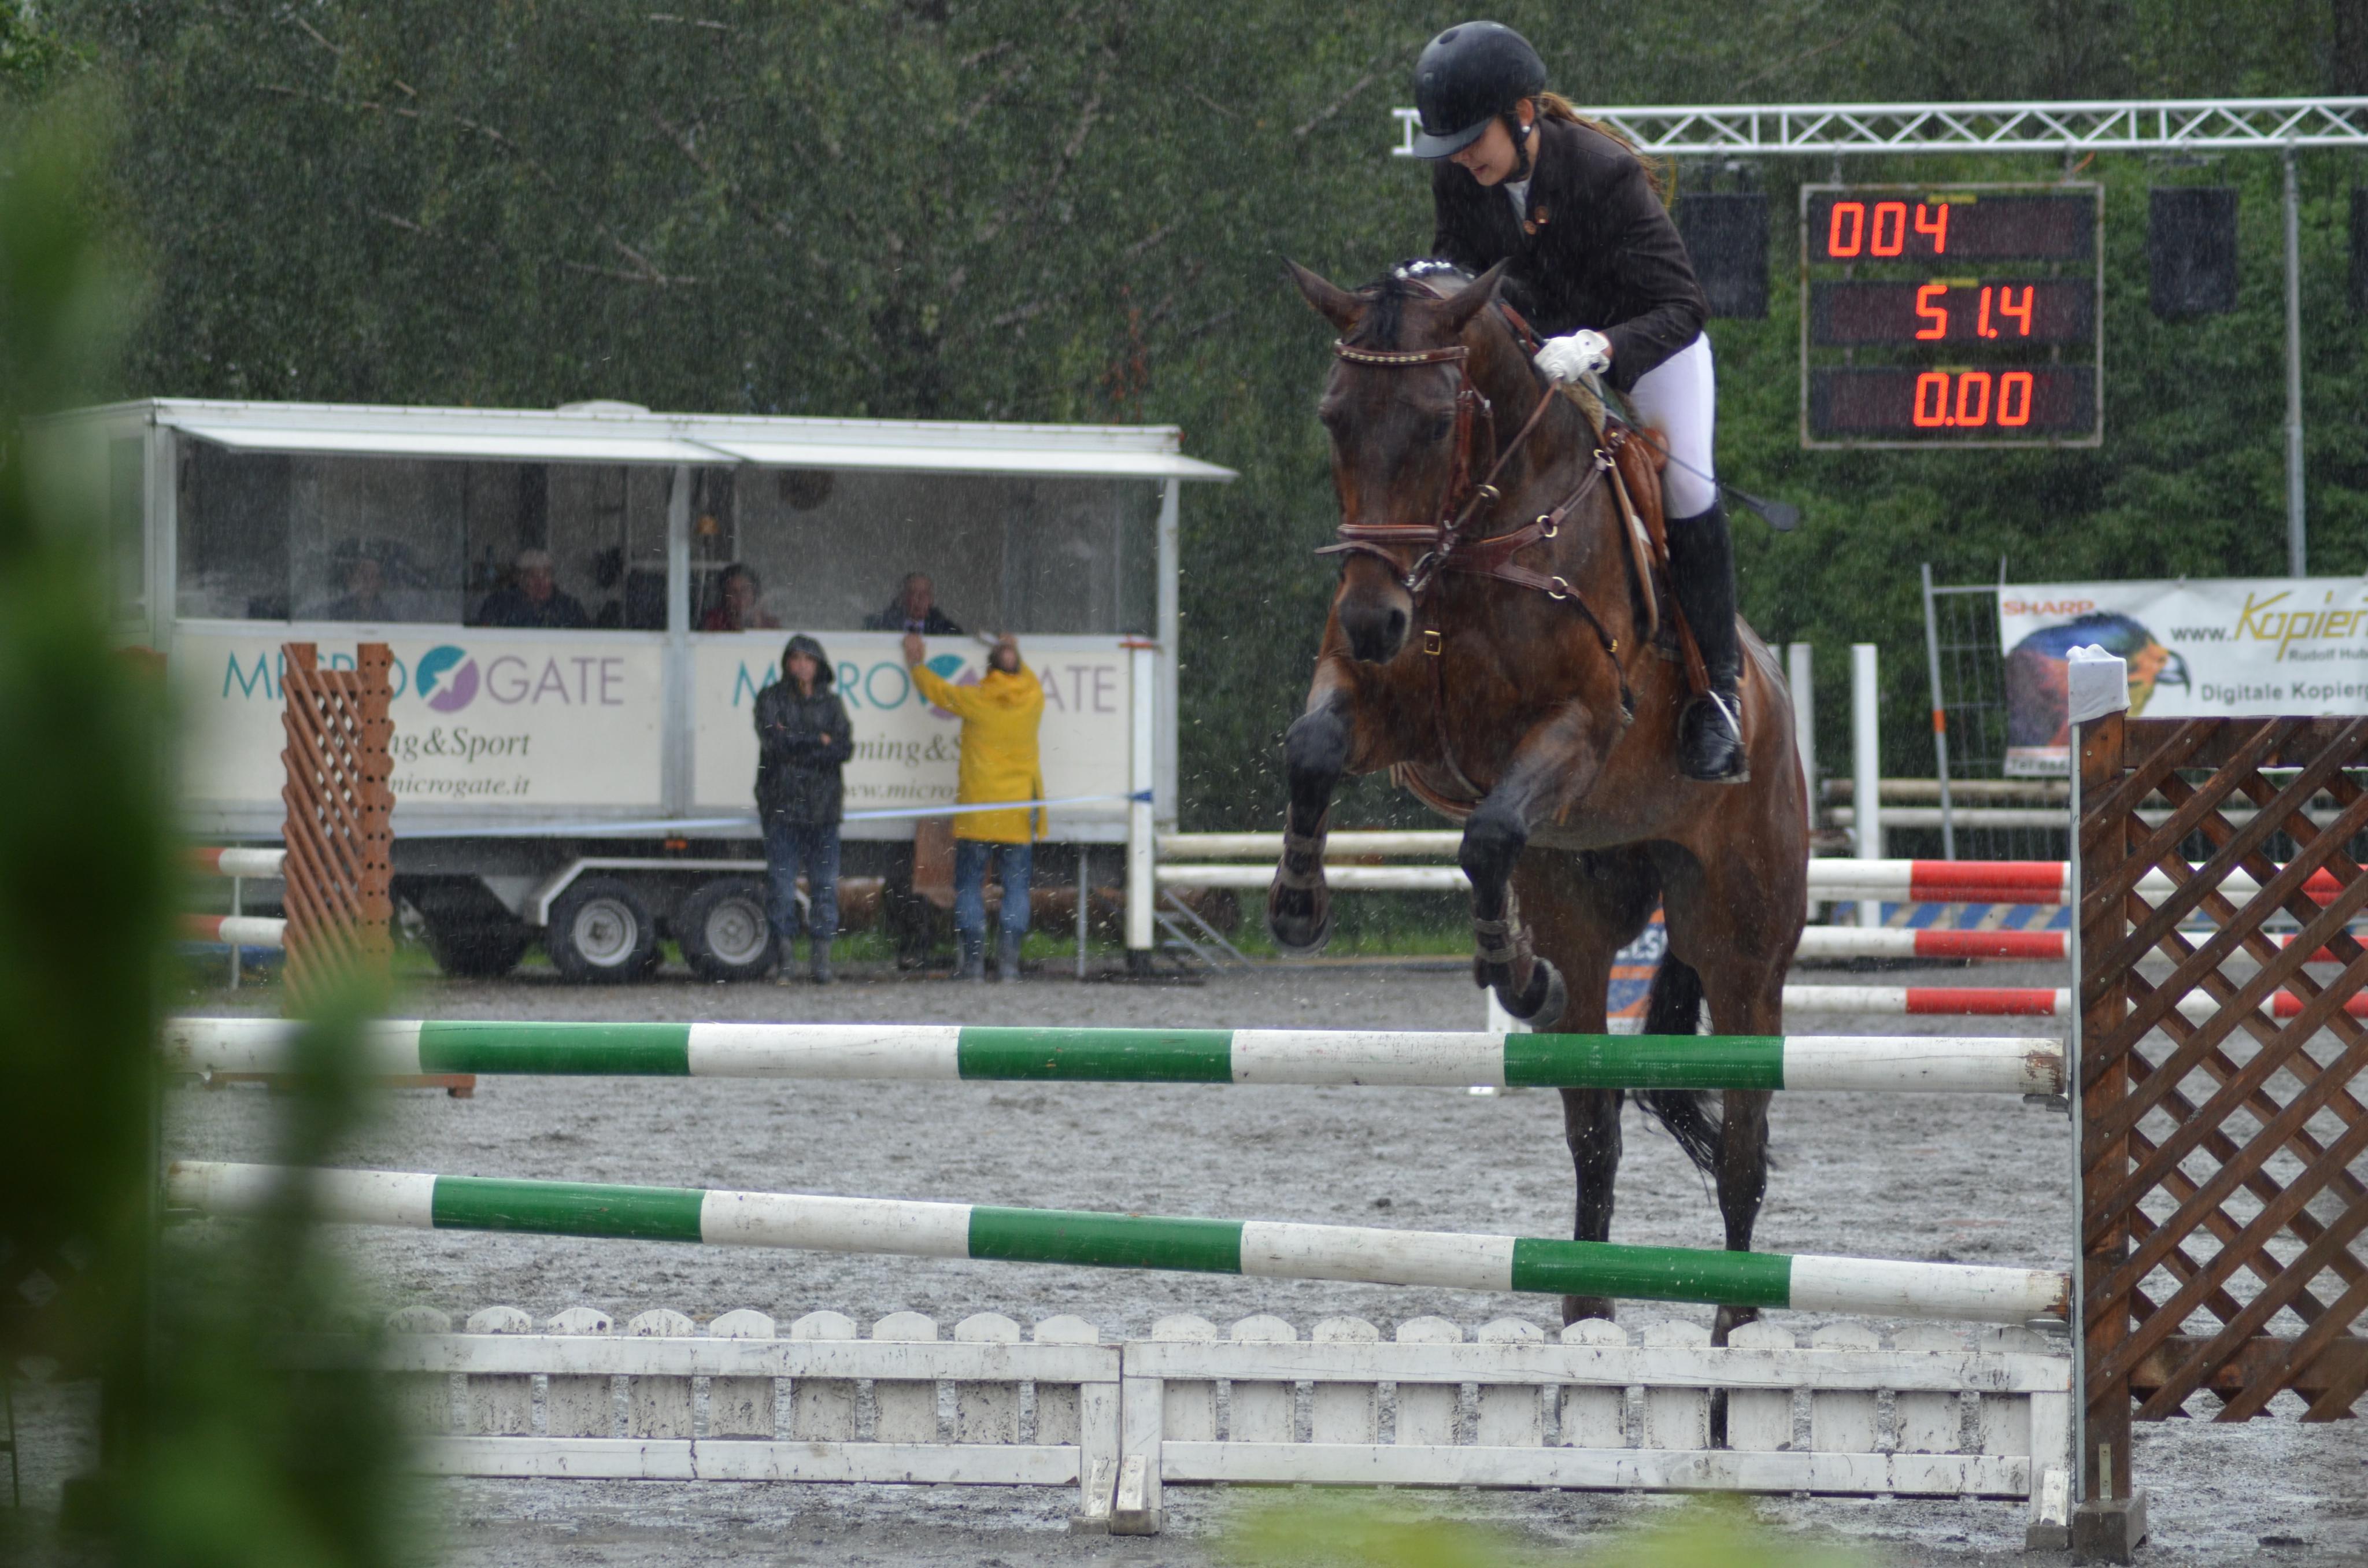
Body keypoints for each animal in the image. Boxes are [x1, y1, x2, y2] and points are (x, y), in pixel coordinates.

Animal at [1270, 258, 1809, 1342]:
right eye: (1333, 416)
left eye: (1439, 422)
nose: (1375, 618)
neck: (1475, 539)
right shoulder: (1382, 707)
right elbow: (1312, 753)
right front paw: (1299, 903)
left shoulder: (1574, 729)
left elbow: (1486, 835)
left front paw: (1509, 974)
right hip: (1585, 903)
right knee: (1595, 1124)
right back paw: (1585, 1312)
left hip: (1743, 949)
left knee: (1742, 1147)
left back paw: (1736, 1334)